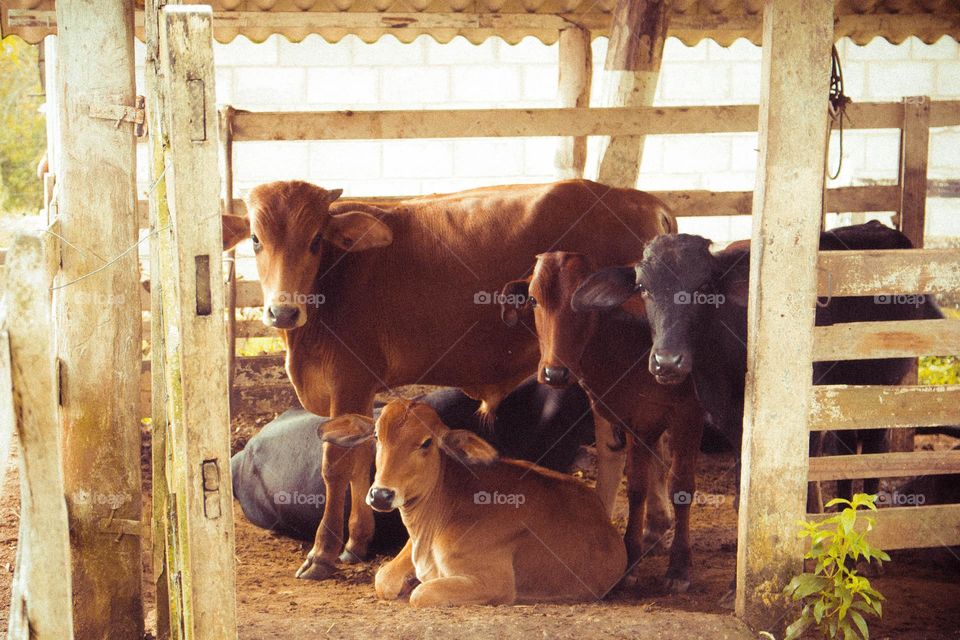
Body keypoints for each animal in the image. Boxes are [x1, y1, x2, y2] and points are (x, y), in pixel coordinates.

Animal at [316, 399, 627, 606]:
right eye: (377, 436)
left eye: (427, 442)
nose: (381, 495)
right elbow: (383, 580)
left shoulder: (494, 582)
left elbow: (421, 593)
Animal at [500, 252, 705, 592]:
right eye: (532, 299)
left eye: (583, 303)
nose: (555, 373)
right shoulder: (637, 420)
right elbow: (636, 488)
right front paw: (630, 560)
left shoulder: (688, 415)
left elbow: (681, 487)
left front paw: (679, 568)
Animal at [570, 221, 944, 507]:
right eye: (643, 288)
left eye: (704, 286)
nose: (667, 361)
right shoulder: (729, 420)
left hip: (881, 386)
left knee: (873, 450)